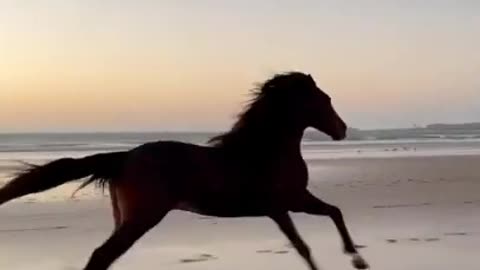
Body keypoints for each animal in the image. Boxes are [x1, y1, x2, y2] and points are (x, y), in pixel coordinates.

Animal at [0, 71, 370, 270]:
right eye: (324, 100)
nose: (343, 130)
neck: (265, 150)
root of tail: (125, 157)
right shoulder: (283, 206)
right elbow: (305, 244)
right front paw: (354, 259)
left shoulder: (294, 201)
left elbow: (333, 214)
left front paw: (357, 258)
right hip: (141, 218)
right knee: (102, 254)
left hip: (126, 218)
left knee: (103, 255)